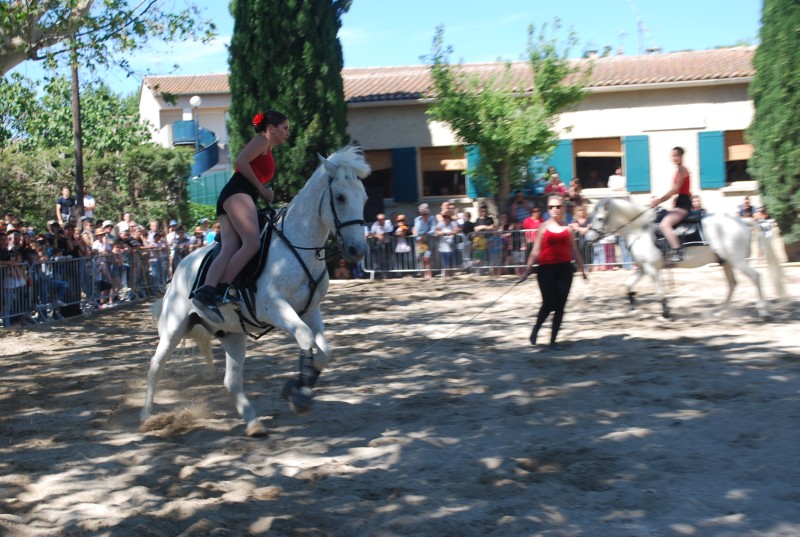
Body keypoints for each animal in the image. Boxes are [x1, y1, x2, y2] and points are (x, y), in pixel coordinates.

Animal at [584, 199, 784, 320]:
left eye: (600, 218)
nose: (586, 239)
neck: (640, 230)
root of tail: (742, 221)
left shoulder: (652, 269)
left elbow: (659, 292)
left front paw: (665, 313)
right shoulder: (642, 268)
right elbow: (628, 285)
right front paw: (633, 307)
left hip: (737, 261)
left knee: (755, 277)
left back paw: (763, 311)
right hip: (726, 262)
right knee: (733, 284)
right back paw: (720, 312)